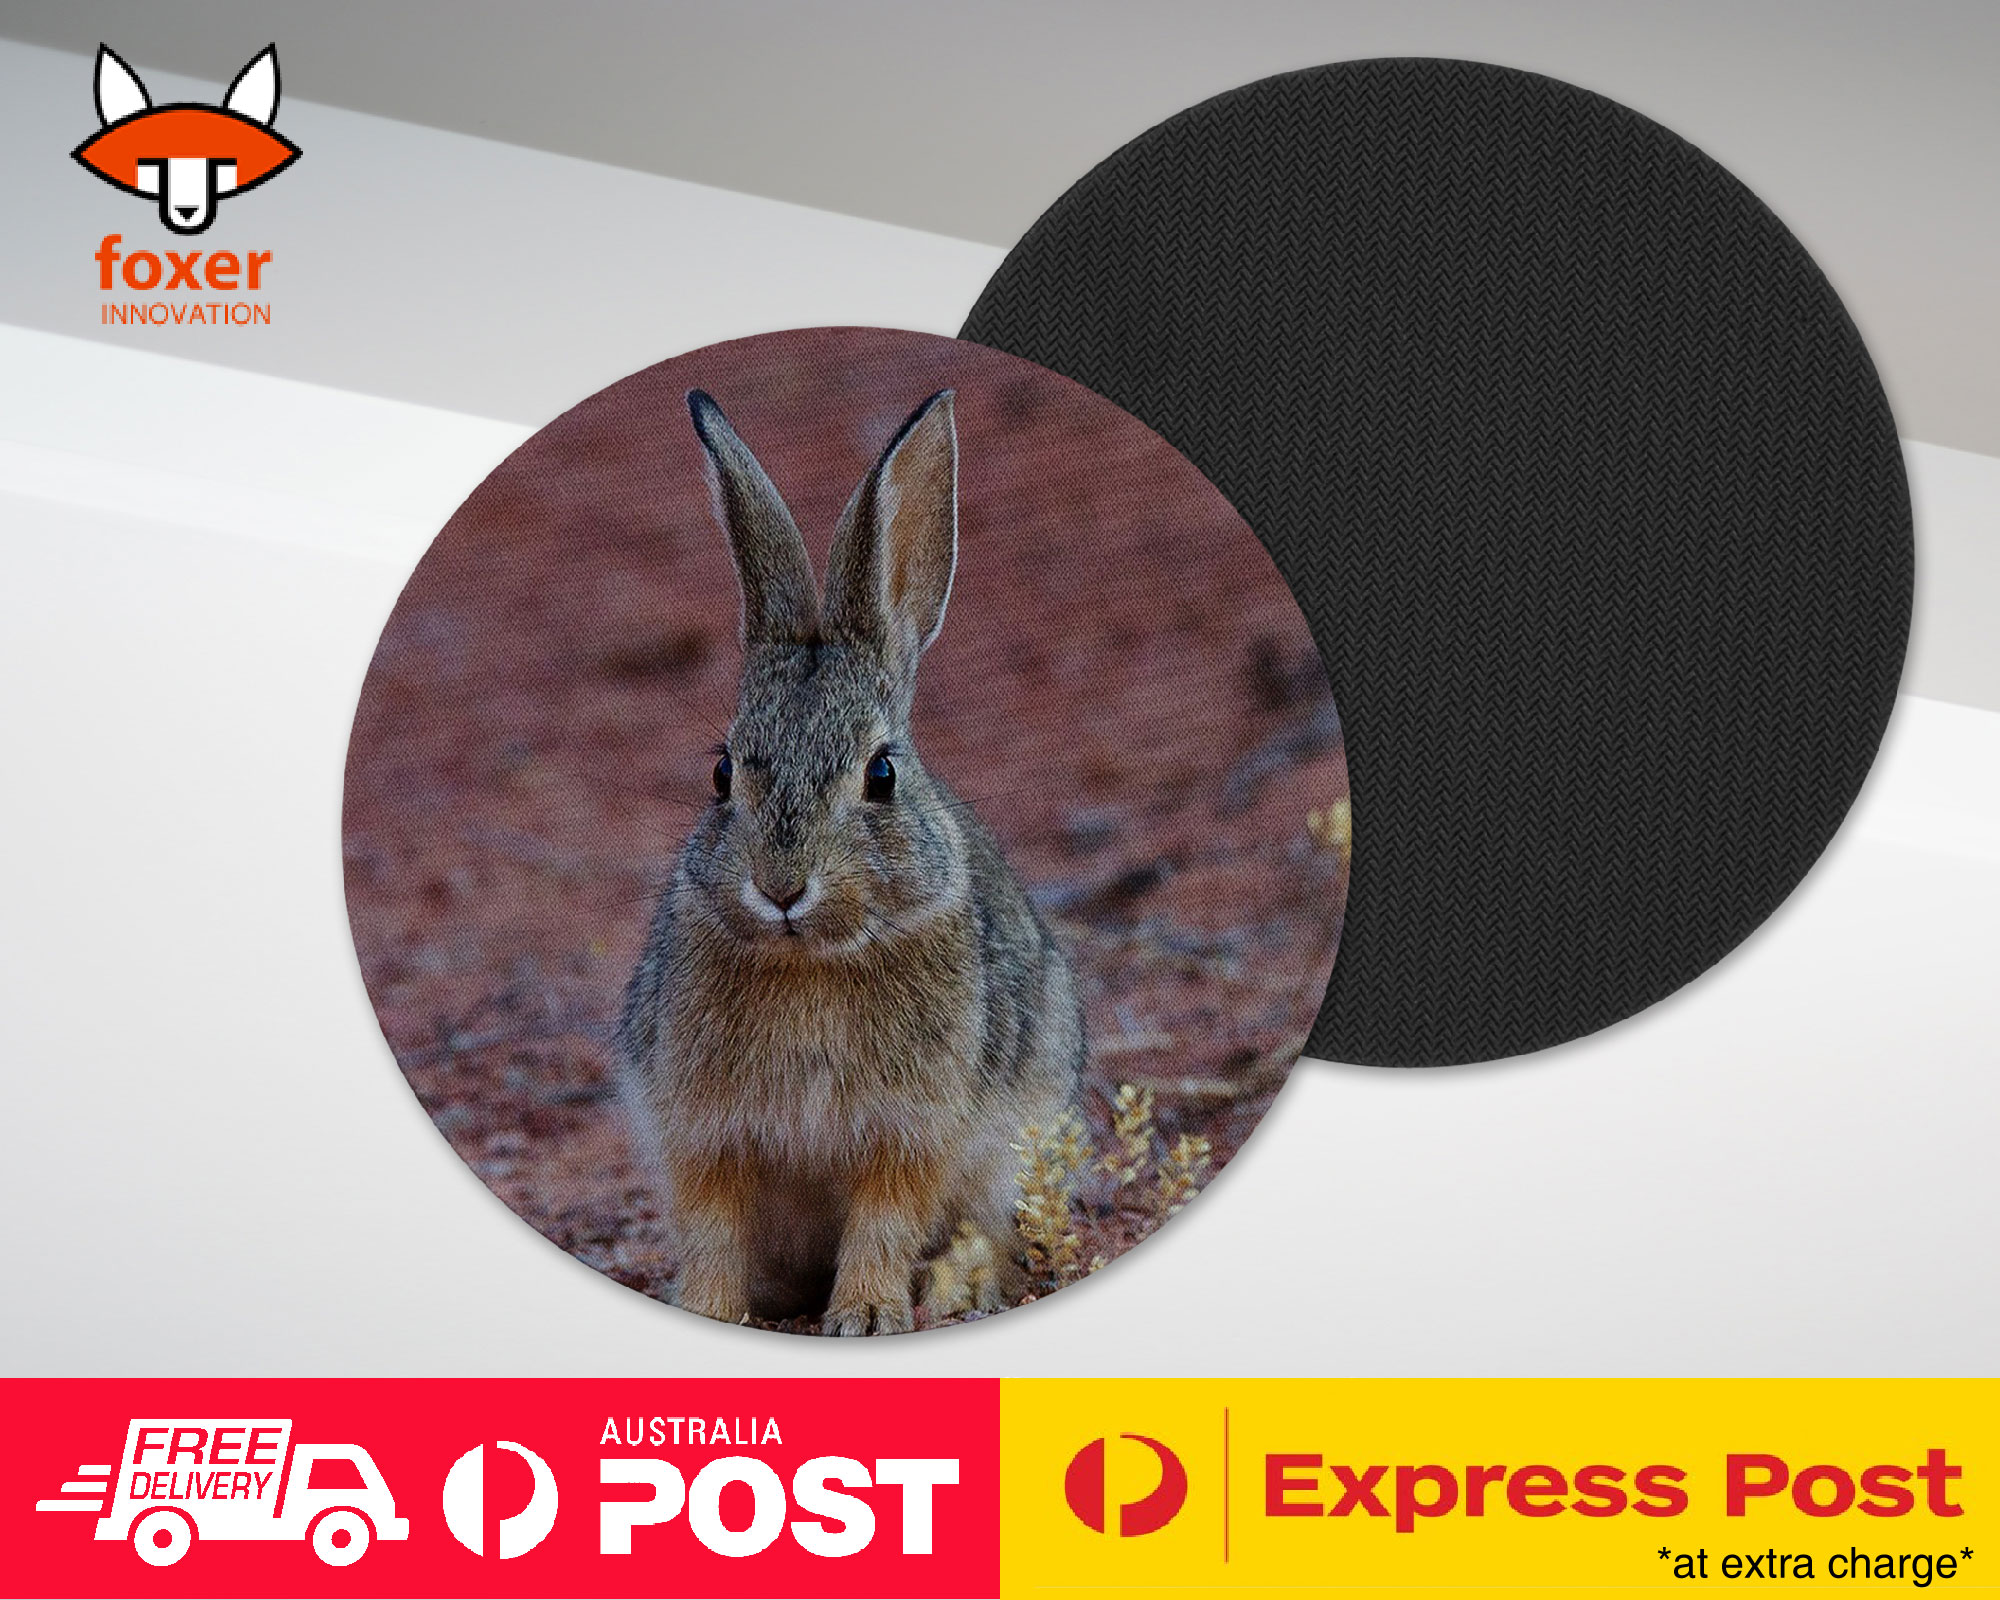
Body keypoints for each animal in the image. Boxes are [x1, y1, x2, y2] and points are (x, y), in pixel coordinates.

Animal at [616, 387, 1085, 1336]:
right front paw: (710, 1312)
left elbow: (884, 1220)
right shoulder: (703, 1132)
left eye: (882, 775)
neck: (812, 961)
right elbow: (713, 1227)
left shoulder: (911, 1132)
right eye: (722, 773)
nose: (780, 888)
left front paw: (865, 1316)